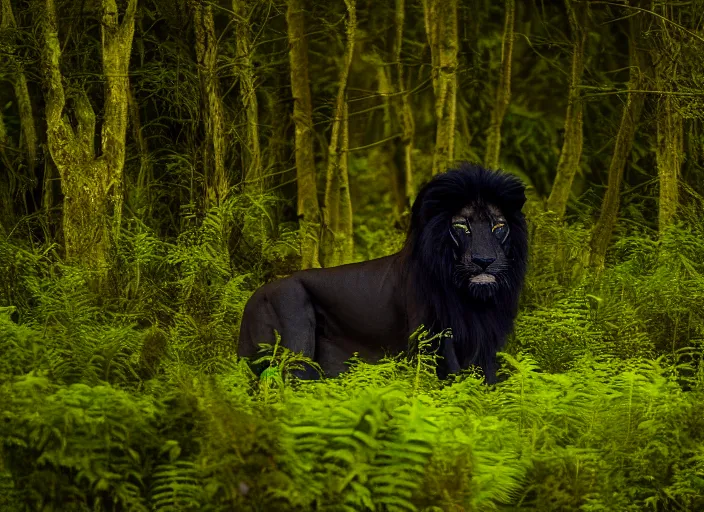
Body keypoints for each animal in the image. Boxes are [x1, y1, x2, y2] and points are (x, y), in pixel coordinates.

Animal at [238, 162, 528, 382]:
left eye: (498, 226)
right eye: (461, 226)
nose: (484, 260)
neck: (471, 301)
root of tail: (251, 301)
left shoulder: (486, 341)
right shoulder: (431, 335)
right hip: (294, 327)